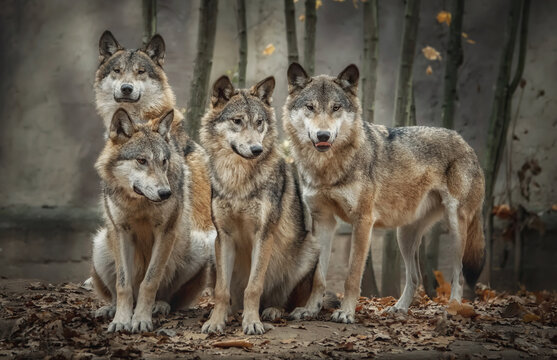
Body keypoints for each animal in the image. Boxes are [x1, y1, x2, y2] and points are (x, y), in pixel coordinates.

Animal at [93, 109, 211, 332]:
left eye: (163, 161)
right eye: (141, 160)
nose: (165, 193)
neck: (139, 203)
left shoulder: (166, 232)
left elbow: (150, 282)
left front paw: (141, 320)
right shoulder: (120, 231)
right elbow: (122, 284)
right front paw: (121, 320)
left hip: (199, 247)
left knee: (167, 296)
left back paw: (159, 306)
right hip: (100, 245)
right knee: (117, 291)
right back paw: (111, 309)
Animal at [200, 75, 324, 334]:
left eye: (259, 123)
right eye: (237, 121)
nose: (256, 149)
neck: (238, 181)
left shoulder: (263, 234)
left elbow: (254, 286)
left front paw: (252, 323)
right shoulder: (223, 236)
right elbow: (220, 290)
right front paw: (215, 322)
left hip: (309, 251)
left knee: (282, 300)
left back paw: (272, 310)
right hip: (212, 254)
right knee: (231, 296)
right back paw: (231, 312)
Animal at [282, 62, 482, 324]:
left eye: (336, 107)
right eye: (310, 107)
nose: (323, 135)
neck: (327, 168)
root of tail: (466, 143)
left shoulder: (363, 221)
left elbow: (352, 275)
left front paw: (346, 313)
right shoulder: (323, 221)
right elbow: (318, 276)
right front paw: (310, 310)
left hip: (456, 226)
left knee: (458, 276)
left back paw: (454, 309)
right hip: (404, 236)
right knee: (415, 277)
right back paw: (399, 309)